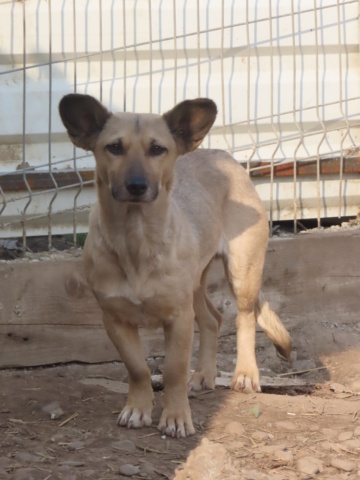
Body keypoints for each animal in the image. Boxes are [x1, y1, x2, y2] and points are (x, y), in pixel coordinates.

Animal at [58, 94, 290, 438]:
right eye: (114, 147)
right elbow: (138, 368)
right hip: (195, 282)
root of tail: (224, 156)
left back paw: (246, 374)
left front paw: (177, 417)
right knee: (213, 319)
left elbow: (172, 370)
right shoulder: (114, 319)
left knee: (244, 319)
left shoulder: (179, 318)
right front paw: (138, 409)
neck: (136, 237)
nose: (137, 185)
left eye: (157, 149)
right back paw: (204, 375)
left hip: (242, 271)